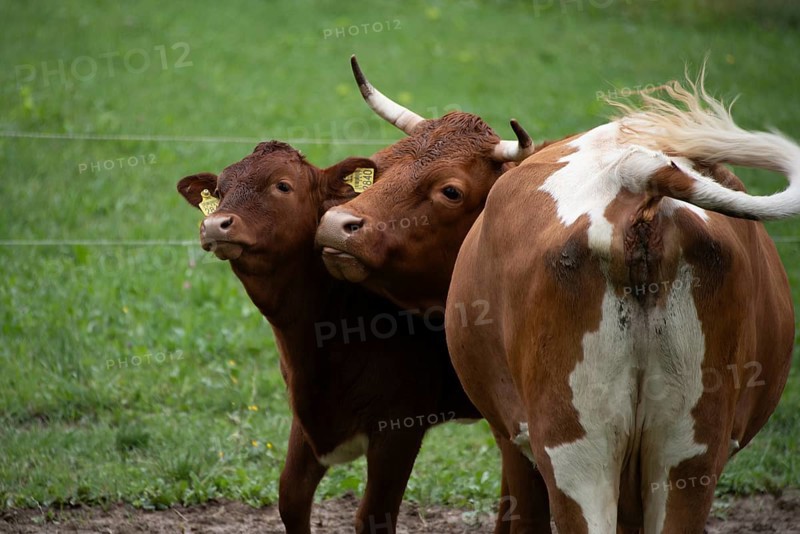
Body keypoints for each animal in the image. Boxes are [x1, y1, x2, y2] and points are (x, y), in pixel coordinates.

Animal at [176, 141, 480, 534]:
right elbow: (291, 498)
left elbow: (374, 516)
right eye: (220, 191)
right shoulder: (306, 414)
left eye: (283, 185)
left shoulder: (400, 426)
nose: (215, 224)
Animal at [317, 66, 798, 532]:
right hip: (687, 454)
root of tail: (635, 173)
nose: (337, 224)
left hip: (573, 452)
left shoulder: (511, 434)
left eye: (450, 191)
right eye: (381, 166)